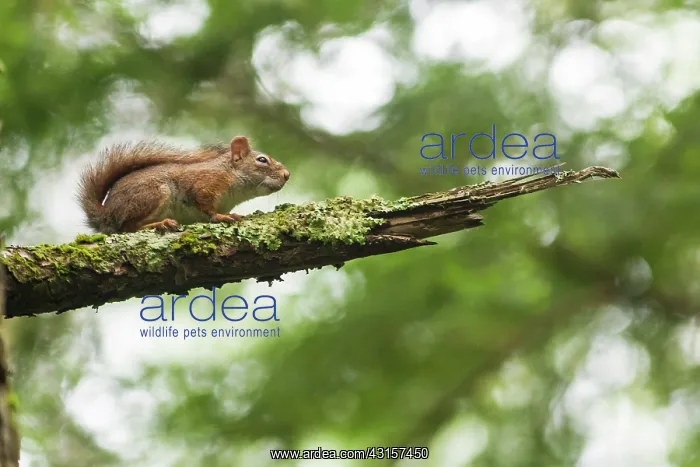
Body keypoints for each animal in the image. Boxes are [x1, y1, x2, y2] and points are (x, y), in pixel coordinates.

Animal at [77, 136, 290, 234]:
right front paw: (221, 216)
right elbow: (206, 206)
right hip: (153, 195)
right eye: (262, 160)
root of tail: (106, 214)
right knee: (129, 227)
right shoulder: (204, 185)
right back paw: (161, 223)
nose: (287, 175)